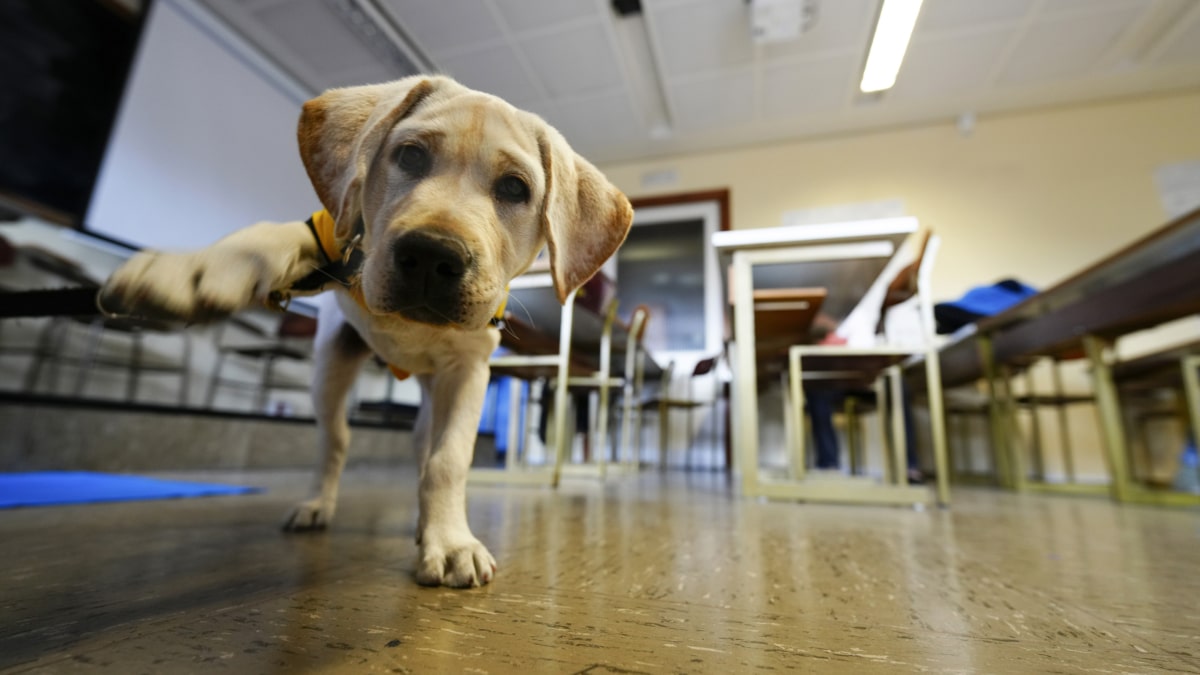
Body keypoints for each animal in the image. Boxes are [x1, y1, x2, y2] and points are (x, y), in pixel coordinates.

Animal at [100, 77, 638, 583]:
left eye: (514, 188)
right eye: (411, 155)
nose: (432, 255)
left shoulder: (470, 371)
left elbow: (448, 461)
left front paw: (449, 542)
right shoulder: (335, 230)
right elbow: (275, 234)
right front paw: (191, 271)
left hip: (432, 394)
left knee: (423, 448)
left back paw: (424, 523)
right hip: (330, 370)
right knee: (335, 441)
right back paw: (318, 504)